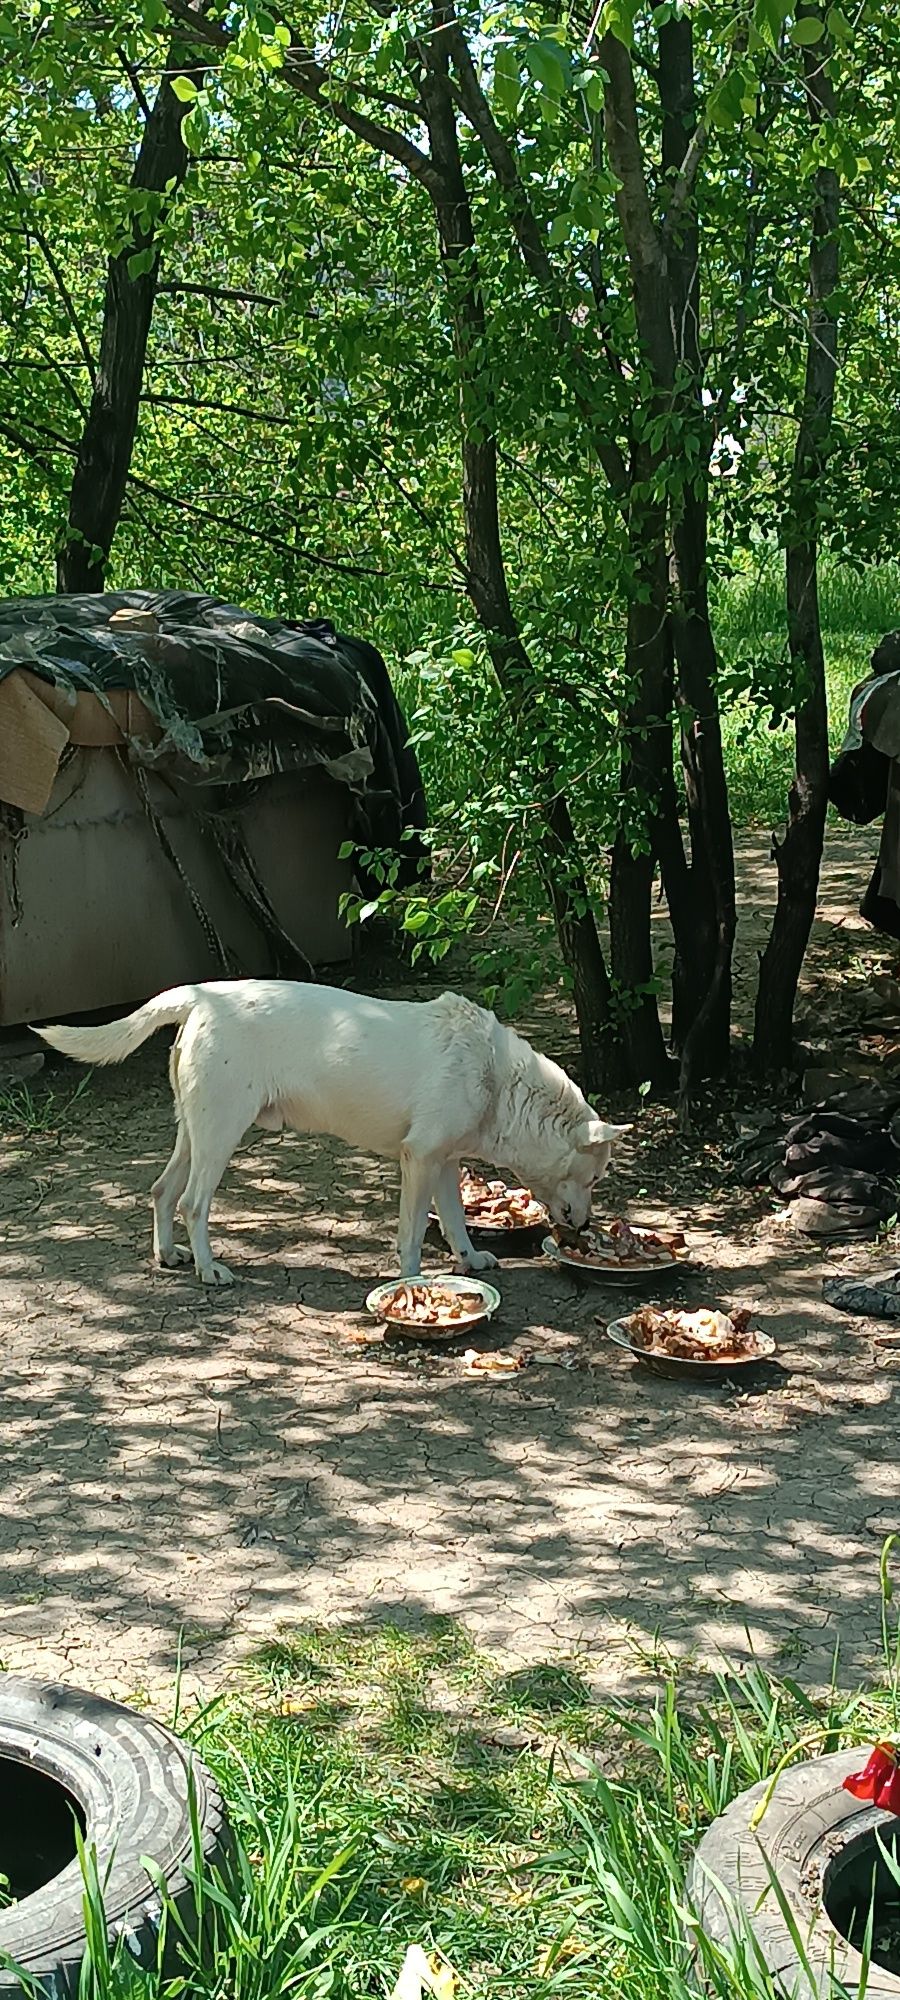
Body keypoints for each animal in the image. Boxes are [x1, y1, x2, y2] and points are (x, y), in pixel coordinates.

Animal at [33, 980, 624, 1280]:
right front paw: (412, 1281)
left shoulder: (444, 1162)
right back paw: (208, 1268)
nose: (584, 1225)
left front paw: (470, 1261)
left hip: (194, 1134)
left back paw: (169, 1256)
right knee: (192, 1203)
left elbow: (455, 1221)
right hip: (220, 1136)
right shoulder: (419, 1159)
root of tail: (200, 996)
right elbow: (413, 1233)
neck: (500, 1081)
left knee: (161, 1191)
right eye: (595, 1179)